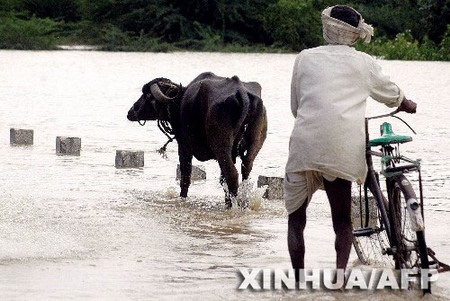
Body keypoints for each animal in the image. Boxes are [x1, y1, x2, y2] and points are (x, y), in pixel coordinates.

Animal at [125, 72, 268, 207]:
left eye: (147, 95)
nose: (131, 111)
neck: (178, 102)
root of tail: (241, 93)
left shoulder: (183, 146)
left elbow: (185, 177)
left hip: (221, 146)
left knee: (232, 174)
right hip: (253, 147)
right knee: (245, 173)